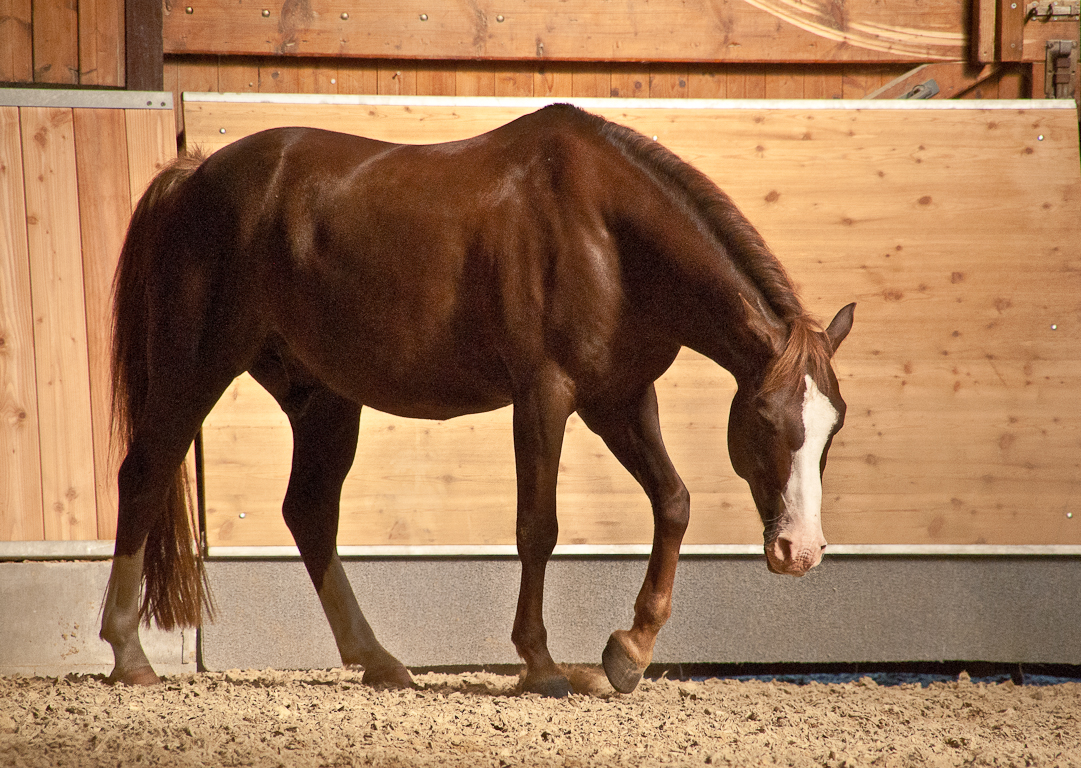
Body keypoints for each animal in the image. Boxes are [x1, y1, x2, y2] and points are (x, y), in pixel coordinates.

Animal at [103, 105, 860, 700]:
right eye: (763, 418)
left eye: (833, 429)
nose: (800, 549)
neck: (606, 233)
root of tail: (194, 175)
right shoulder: (545, 395)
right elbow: (537, 527)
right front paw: (541, 664)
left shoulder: (618, 398)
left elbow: (673, 502)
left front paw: (628, 652)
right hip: (195, 366)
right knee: (144, 475)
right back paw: (128, 654)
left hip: (323, 397)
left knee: (309, 513)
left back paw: (379, 661)